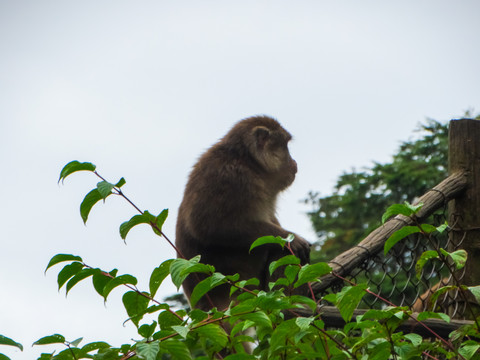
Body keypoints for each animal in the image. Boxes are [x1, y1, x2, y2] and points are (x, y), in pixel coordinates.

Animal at [174, 114, 310, 310]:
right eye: (285, 146)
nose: (294, 162)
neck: (249, 163)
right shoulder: (232, 178)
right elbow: (208, 227)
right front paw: (290, 238)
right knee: (284, 252)